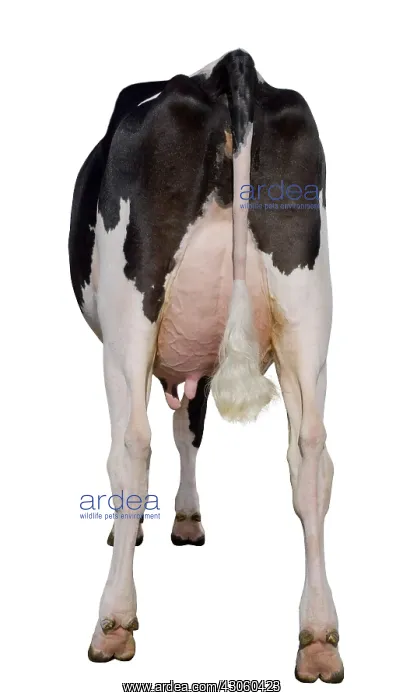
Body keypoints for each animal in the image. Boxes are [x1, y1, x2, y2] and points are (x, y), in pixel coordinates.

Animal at [69, 49, 343, 683]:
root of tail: (228, 67)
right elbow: (190, 429)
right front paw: (187, 518)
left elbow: (164, 434)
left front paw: (143, 530)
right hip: (306, 305)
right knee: (310, 454)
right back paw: (319, 636)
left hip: (129, 315)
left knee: (131, 447)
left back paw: (114, 621)